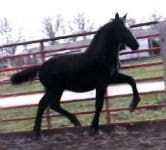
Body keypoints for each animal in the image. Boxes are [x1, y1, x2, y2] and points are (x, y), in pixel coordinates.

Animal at [10, 13, 140, 138]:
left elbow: (131, 80)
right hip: (55, 89)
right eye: (122, 29)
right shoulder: (101, 84)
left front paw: (133, 105)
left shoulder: (112, 78)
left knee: (45, 104)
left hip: (54, 89)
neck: (101, 57)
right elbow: (99, 105)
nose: (136, 45)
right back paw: (71, 122)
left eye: (128, 27)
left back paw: (41, 132)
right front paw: (95, 129)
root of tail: (41, 67)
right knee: (50, 104)